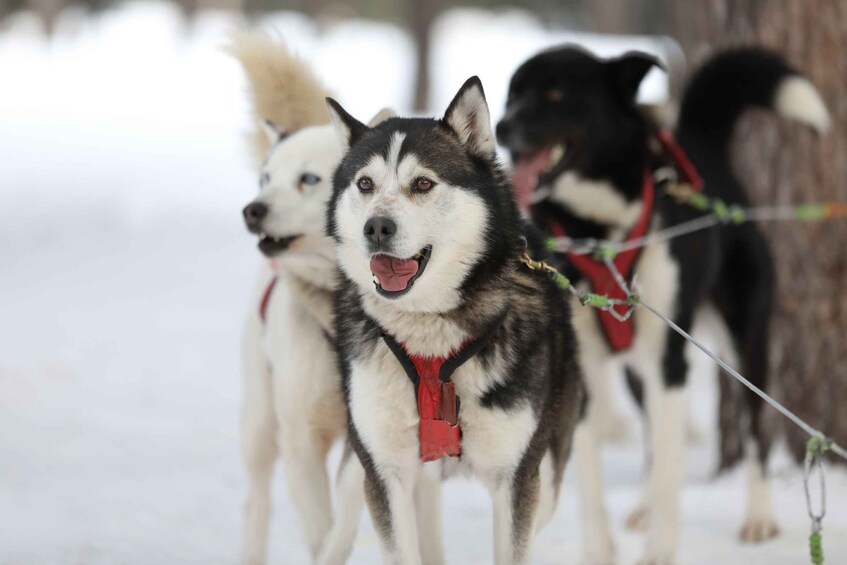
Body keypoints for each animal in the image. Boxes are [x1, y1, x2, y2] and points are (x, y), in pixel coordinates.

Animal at [324, 76, 588, 564]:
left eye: (422, 183)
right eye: (365, 183)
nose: (377, 227)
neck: (431, 336)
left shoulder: (517, 480)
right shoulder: (385, 473)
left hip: (548, 474)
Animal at [496, 46, 828, 560]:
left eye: (556, 94)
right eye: (512, 95)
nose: (502, 127)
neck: (601, 234)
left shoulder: (670, 365)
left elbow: (673, 474)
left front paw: (658, 553)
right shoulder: (584, 370)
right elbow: (591, 483)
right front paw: (600, 552)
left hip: (744, 344)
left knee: (754, 433)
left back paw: (758, 516)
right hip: (638, 370)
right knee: (653, 438)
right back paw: (644, 505)